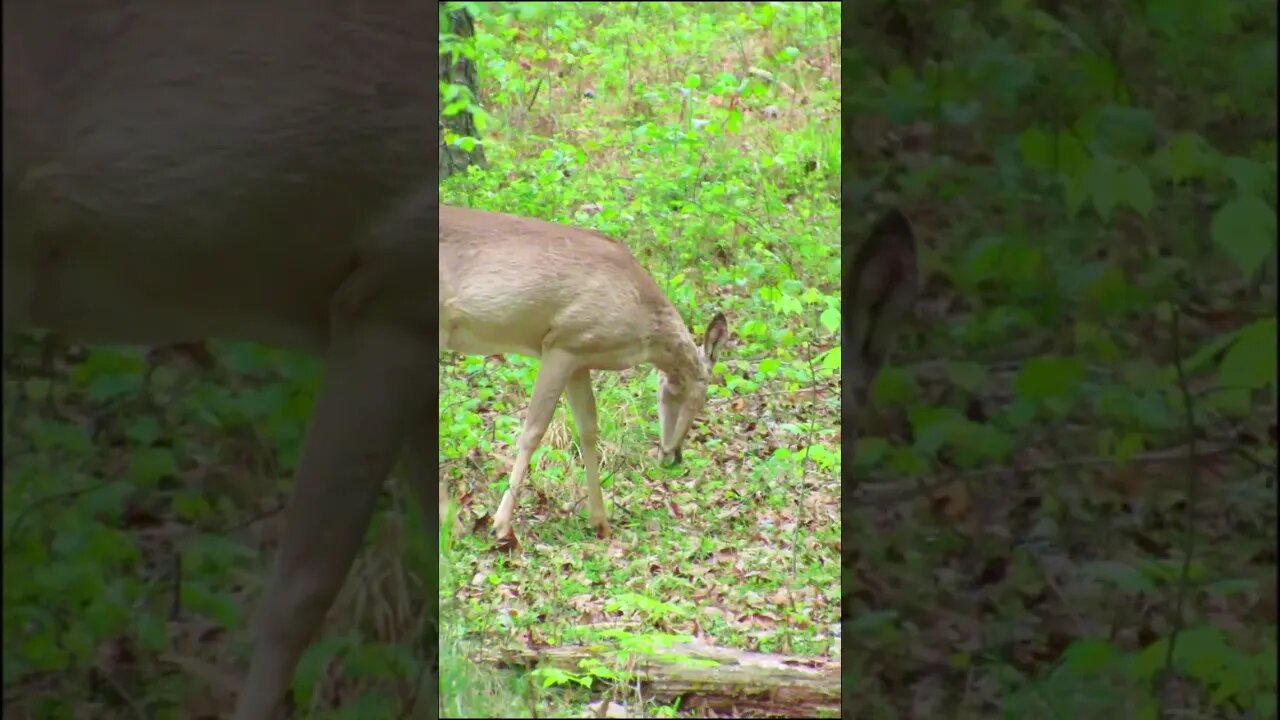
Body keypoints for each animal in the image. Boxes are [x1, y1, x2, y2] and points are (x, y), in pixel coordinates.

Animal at [440, 204, 732, 545]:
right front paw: (501, 525)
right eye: (700, 398)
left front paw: (600, 521)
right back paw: (455, 525)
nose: (673, 458)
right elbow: (534, 430)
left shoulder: (580, 357)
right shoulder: (562, 342)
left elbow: (589, 430)